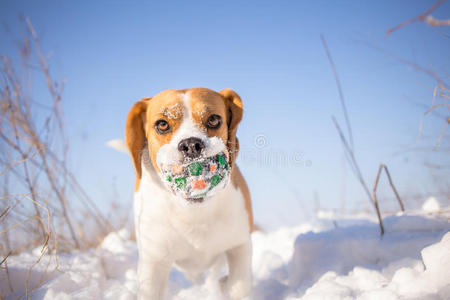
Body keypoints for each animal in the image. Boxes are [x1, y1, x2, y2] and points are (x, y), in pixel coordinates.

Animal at [125, 88, 253, 298]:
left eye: (213, 119)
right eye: (162, 124)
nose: (191, 145)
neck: (193, 213)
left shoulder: (239, 243)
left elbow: (239, 287)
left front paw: (224, 285)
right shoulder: (154, 262)